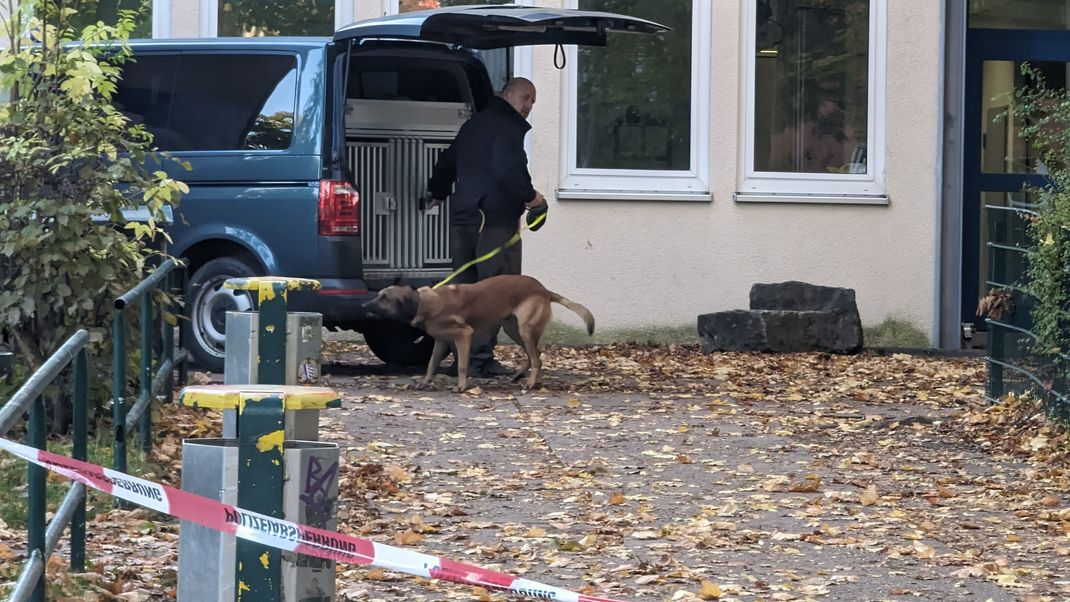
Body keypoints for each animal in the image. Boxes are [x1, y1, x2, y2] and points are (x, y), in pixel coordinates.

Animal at [359, 273, 594, 391]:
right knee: (535, 355)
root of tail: (543, 290)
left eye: (384, 298)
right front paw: (424, 383)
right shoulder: (442, 342)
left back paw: (529, 383)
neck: (421, 303)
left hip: (524, 329)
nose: (364, 305)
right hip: (513, 329)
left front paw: (462, 386)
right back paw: (522, 377)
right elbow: (431, 364)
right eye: (378, 295)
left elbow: (462, 365)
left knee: (536, 359)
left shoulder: (464, 335)